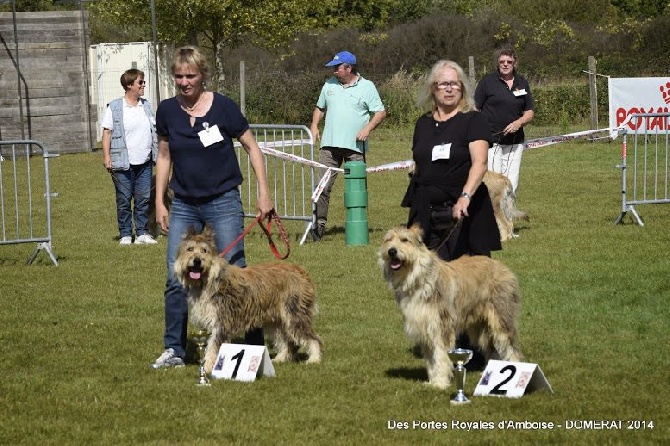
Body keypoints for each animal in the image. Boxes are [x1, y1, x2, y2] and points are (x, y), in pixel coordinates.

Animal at [175, 226, 324, 372]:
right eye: (190, 249)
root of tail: (301, 271)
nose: (197, 260)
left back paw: (314, 359)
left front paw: (207, 368)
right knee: (286, 341)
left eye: (204, 250)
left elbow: (214, 347)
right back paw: (281, 358)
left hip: (295, 315)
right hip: (275, 321)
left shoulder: (221, 323)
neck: (209, 279)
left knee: (313, 338)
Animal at [378, 226, 524, 390]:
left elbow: (441, 357)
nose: (391, 251)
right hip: (480, 327)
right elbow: (431, 360)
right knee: (492, 347)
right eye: (388, 240)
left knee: (511, 347)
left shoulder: (441, 327)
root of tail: (502, 266)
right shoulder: (425, 329)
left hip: (500, 319)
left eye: (404, 240)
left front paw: (440, 383)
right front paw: (432, 381)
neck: (419, 278)